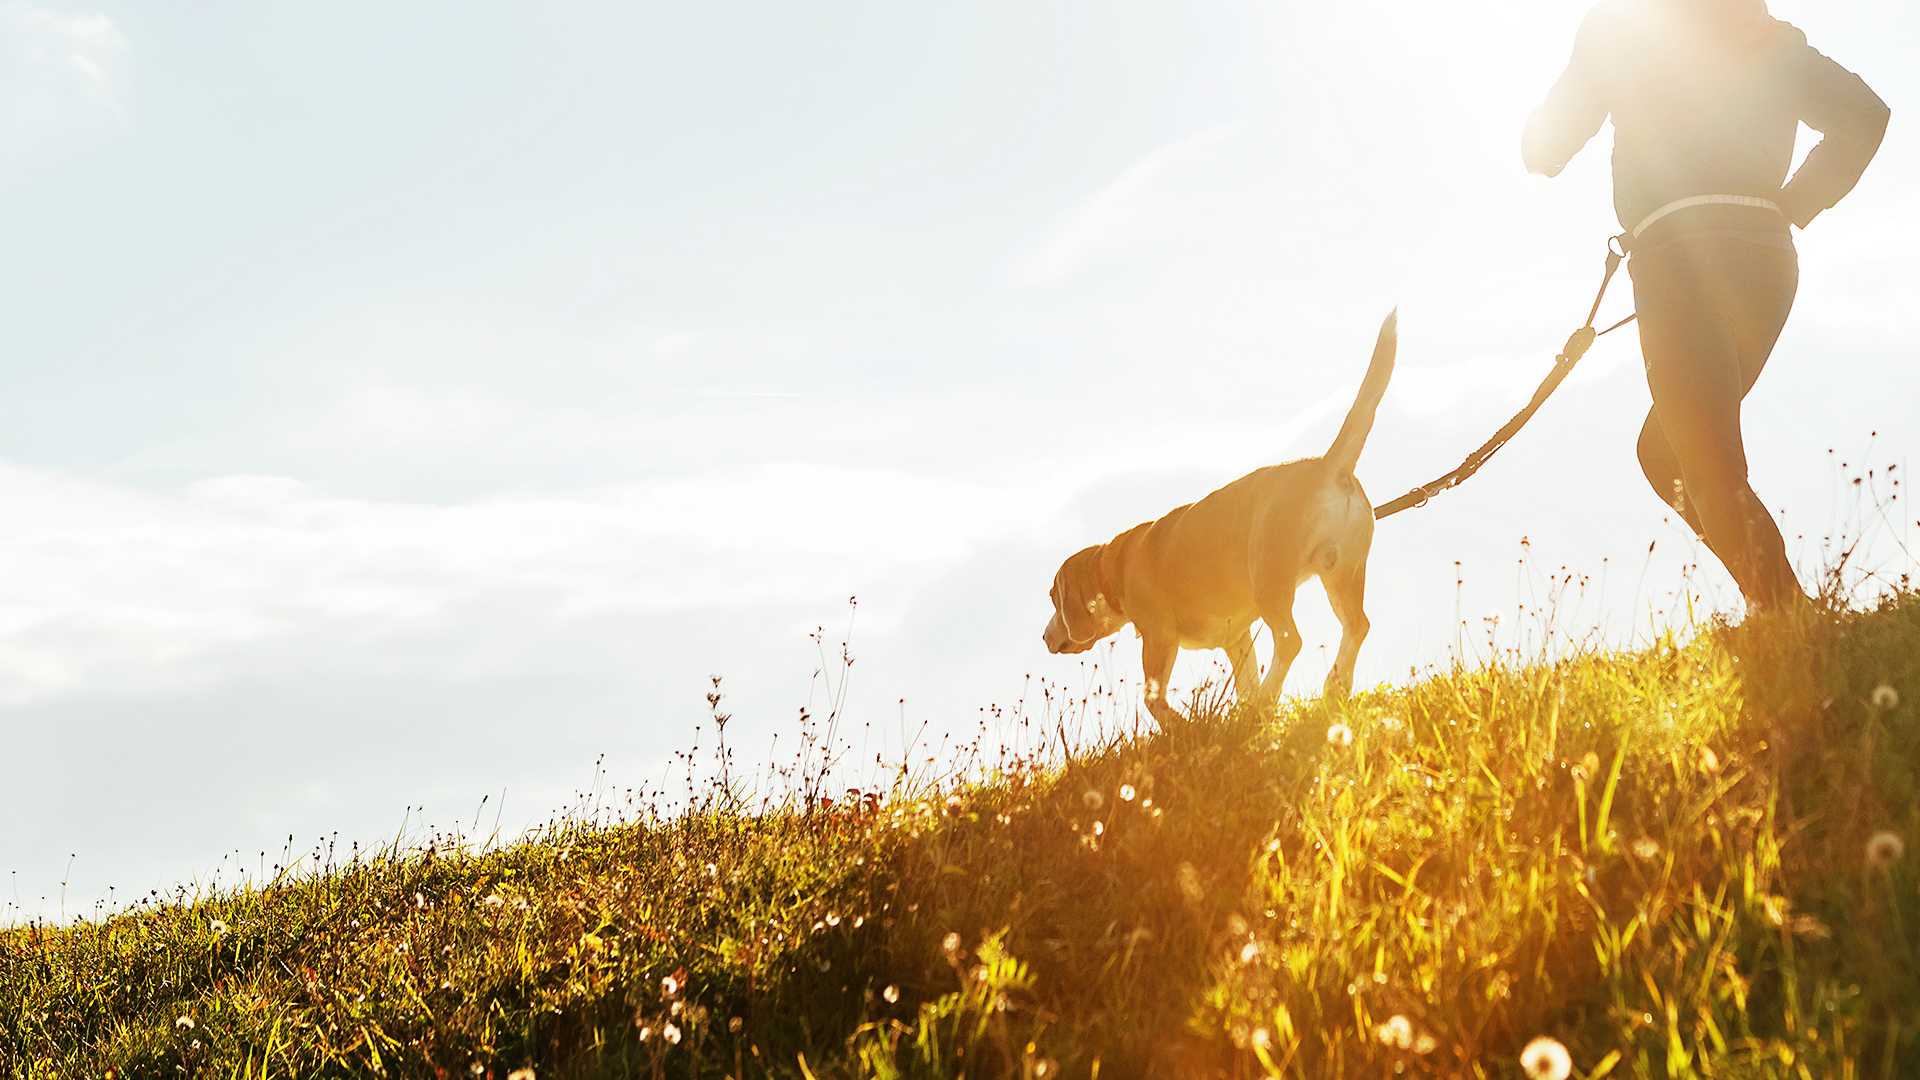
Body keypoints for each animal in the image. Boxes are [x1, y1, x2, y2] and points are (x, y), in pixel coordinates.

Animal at [1044, 309, 1405, 722]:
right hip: (1343, 574)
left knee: (1290, 641)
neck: (1113, 565)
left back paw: (1269, 697)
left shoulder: (1158, 637)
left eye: (1053, 600)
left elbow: (1153, 698)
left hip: (1269, 580)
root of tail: (1328, 465)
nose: (1045, 636)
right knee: (1356, 626)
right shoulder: (1238, 639)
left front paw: (1180, 726)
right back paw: (1333, 687)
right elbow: (1243, 680)